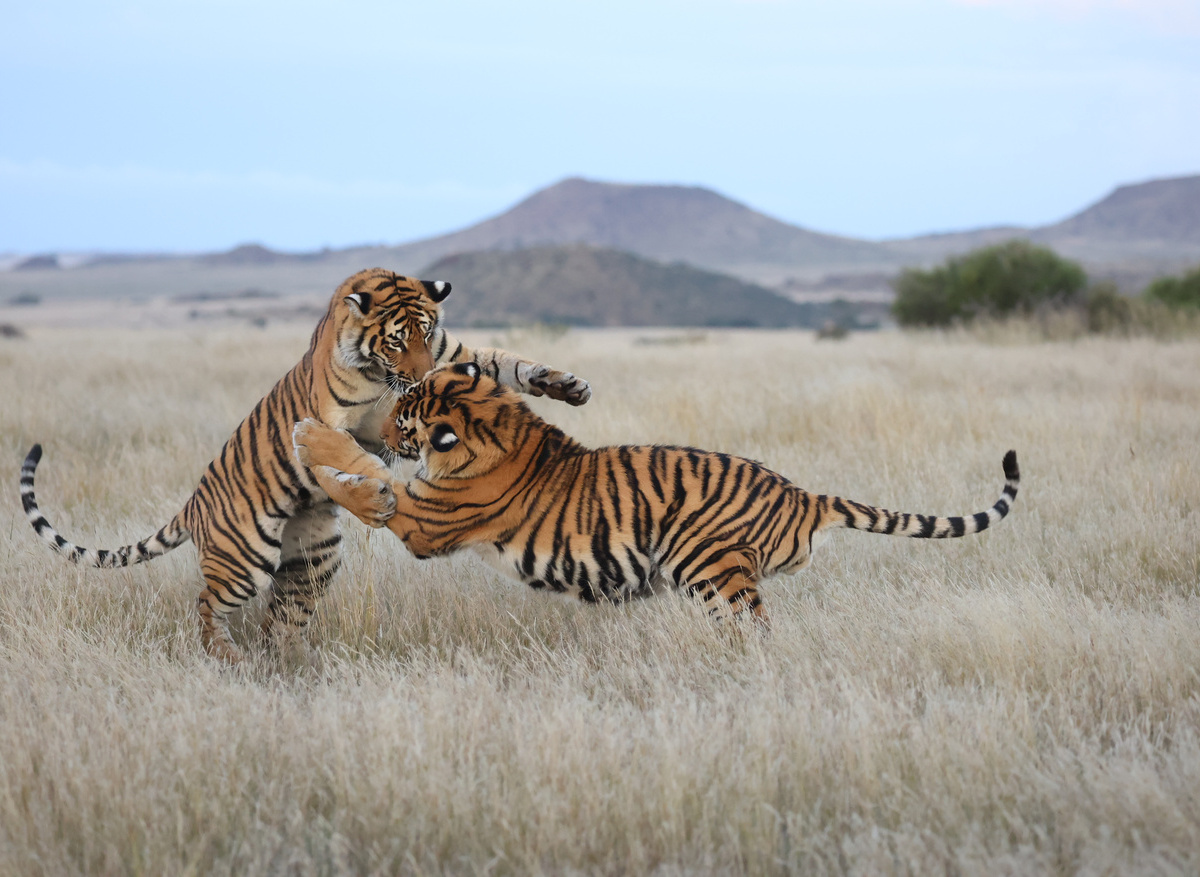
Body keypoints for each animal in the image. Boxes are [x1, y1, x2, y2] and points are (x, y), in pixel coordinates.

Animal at [20, 268, 591, 663]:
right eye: (396, 339)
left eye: (427, 334)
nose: (421, 377)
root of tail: (193, 503)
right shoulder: (328, 422)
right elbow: (336, 464)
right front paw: (371, 500)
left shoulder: (456, 357)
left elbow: (508, 362)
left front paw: (566, 384)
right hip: (243, 558)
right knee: (206, 604)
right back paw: (229, 657)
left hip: (315, 559)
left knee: (284, 616)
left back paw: (295, 662)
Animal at [291, 361, 1019, 624]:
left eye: (404, 413)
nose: (384, 420)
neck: (493, 426)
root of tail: (803, 495)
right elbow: (361, 476)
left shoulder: (425, 518)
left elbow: (363, 482)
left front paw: (309, 438)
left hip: (713, 569)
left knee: (753, 631)